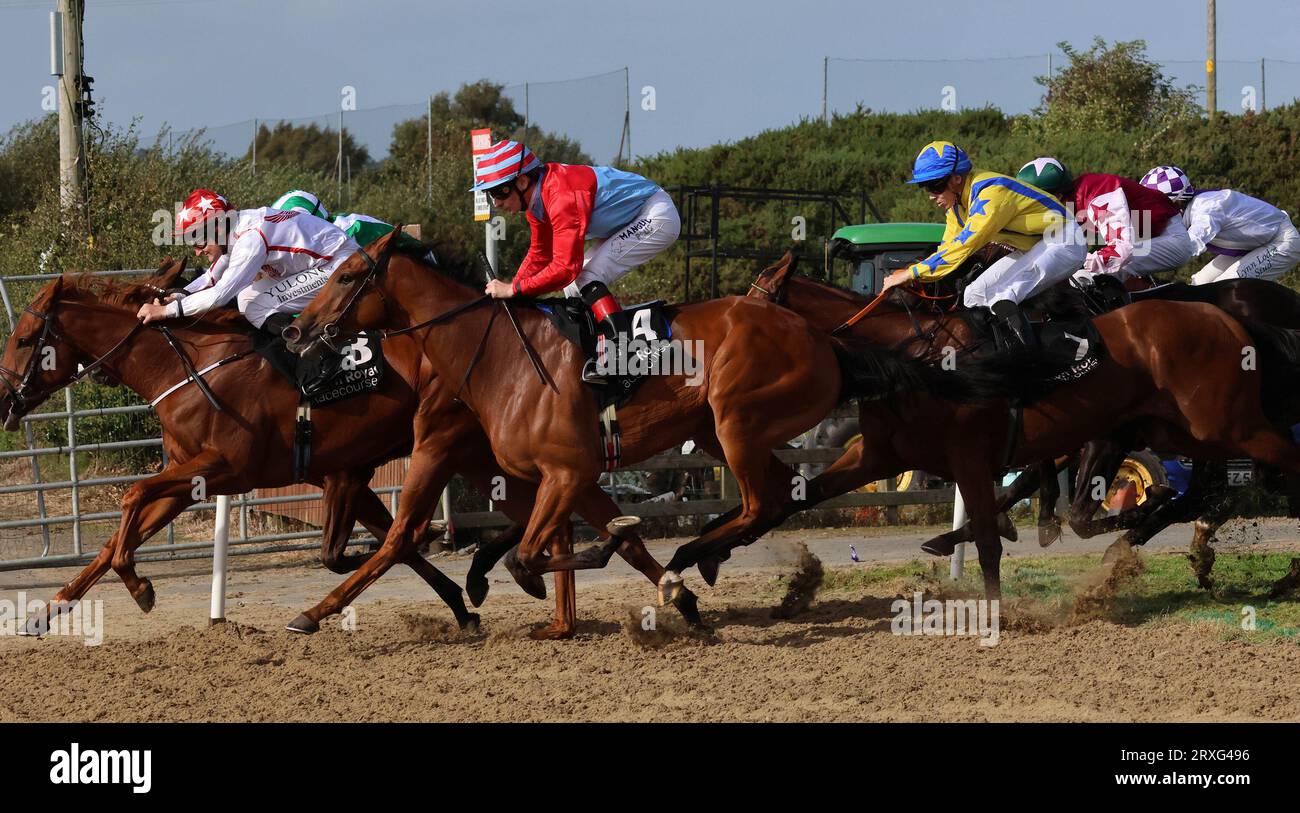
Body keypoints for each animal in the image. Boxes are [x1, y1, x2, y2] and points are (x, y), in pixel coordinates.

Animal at [284, 231, 993, 606]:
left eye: (346, 275)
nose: (296, 330)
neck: (500, 360)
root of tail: (826, 339)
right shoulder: (561, 475)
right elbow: (539, 547)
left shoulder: (565, 471)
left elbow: (533, 556)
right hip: (721, 429)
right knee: (779, 497)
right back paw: (701, 554)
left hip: (735, 421)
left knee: (763, 503)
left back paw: (696, 552)